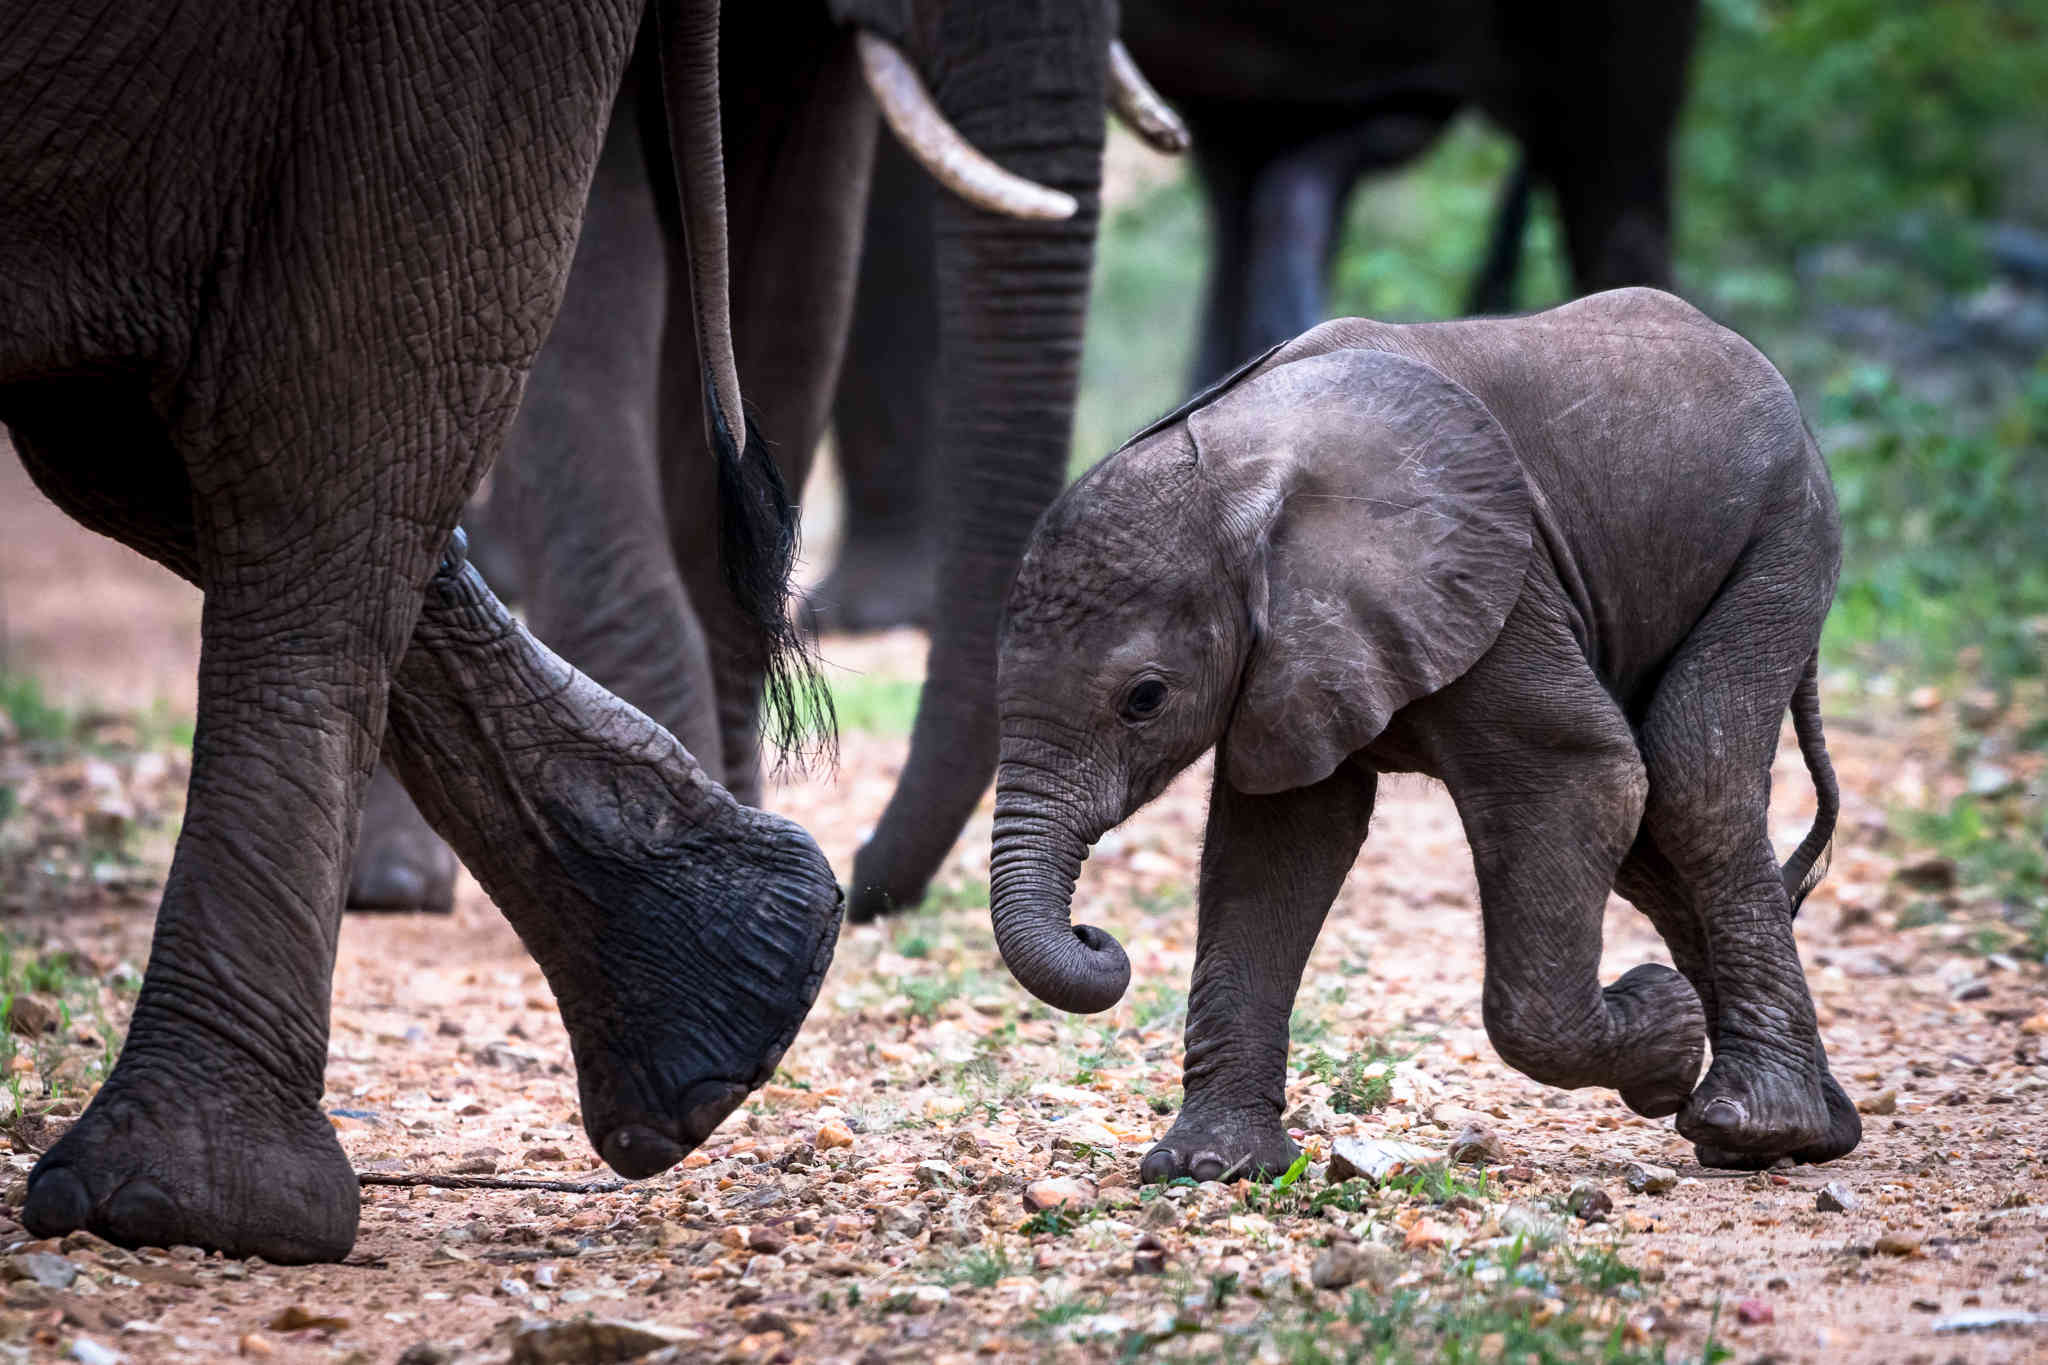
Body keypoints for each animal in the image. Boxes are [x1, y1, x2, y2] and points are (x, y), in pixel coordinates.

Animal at [987, 290, 1859, 1186]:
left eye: (1145, 698)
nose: (1095, 936)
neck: (1235, 468)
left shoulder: (1500, 584)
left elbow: (1580, 771)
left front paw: (1663, 1032)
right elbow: (1277, 844)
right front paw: (1210, 1167)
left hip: (1782, 537)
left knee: (1689, 779)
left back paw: (1748, 1121)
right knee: (1653, 836)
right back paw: (1803, 1135)